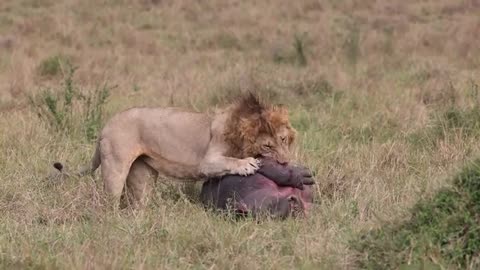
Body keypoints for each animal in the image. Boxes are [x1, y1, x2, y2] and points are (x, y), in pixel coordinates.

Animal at [55, 92, 296, 205]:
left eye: (284, 140)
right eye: (267, 145)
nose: (285, 162)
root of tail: (105, 126)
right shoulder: (207, 161)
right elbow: (229, 161)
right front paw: (246, 165)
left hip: (142, 175)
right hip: (115, 167)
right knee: (110, 200)